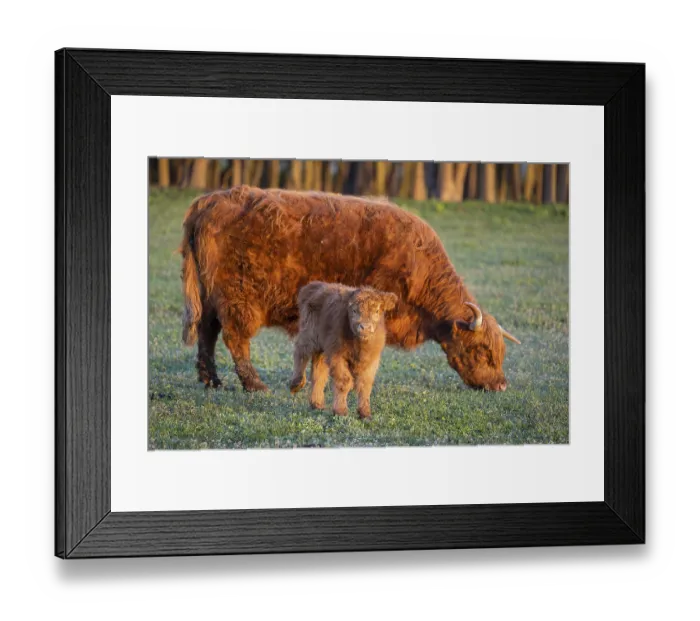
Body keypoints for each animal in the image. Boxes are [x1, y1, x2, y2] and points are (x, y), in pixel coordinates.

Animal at [180, 185, 520, 393]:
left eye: (500, 352)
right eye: (482, 350)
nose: (502, 385)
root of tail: (210, 200)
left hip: (210, 295)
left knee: (207, 331)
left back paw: (211, 380)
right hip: (239, 297)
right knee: (234, 337)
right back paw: (255, 385)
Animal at [290, 282, 398, 419]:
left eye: (377, 311)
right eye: (354, 310)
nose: (365, 327)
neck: (360, 347)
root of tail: (314, 285)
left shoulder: (372, 360)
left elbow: (365, 384)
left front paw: (365, 413)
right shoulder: (337, 355)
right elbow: (344, 381)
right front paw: (340, 411)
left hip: (322, 348)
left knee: (318, 373)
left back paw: (317, 403)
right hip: (309, 334)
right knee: (301, 352)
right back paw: (296, 384)